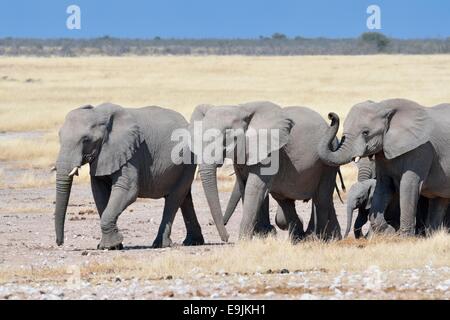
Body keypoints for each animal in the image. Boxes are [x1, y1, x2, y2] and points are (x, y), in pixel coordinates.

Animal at [53, 102, 214, 250]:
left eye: (86, 140)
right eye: (59, 137)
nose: (59, 243)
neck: (100, 114)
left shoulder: (131, 153)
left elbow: (127, 190)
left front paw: (110, 246)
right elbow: (99, 193)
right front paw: (113, 246)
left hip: (187, 161)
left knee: (174, 198)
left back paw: (160, 245)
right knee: (185, 198)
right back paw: (193, 242)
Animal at [190, 101, 342, 241]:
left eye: (228, 136)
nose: (226, 238)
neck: (240, 108)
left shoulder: (270, 153)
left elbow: (254, 189)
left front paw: (244, 241)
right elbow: (244, 186)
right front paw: (261, 236)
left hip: (328, 162)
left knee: (321, 198)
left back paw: (317, 239)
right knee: (285, 201)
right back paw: (301, 238)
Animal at [318, 99, 450, 236]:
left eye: (366, 132)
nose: (331, 115)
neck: (384, 106)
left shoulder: (422, 149)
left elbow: (409, 185)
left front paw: (404, 237)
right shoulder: (383, 152)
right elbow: (383, 186)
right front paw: (391, 232)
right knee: (440, 200)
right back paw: (434, 234)